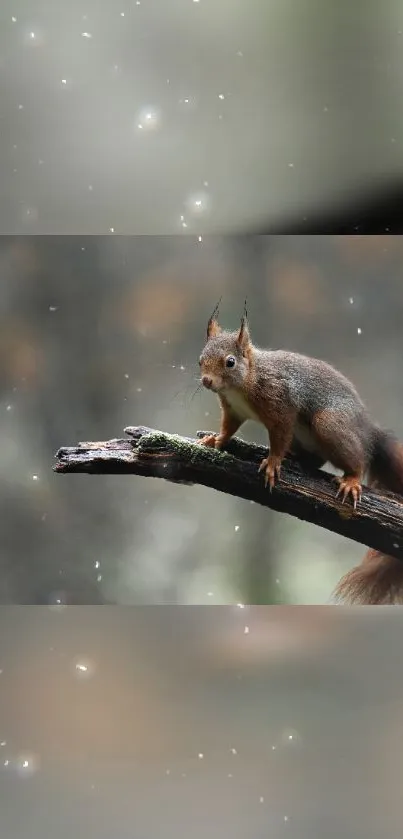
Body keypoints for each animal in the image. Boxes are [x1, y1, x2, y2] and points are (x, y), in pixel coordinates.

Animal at [197, 306, 403, 608]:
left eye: (230, 362)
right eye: (200, 359)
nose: (206, 381)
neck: (247, 380)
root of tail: (368, 430)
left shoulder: (281, 407)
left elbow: (278, 438)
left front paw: (273, 463)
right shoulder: (232, 410)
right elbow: (228, 429)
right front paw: (215, 440)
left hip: (329, 424)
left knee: (358, 459)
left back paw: (351, 479)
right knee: (315, 460)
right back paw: (298, 459)